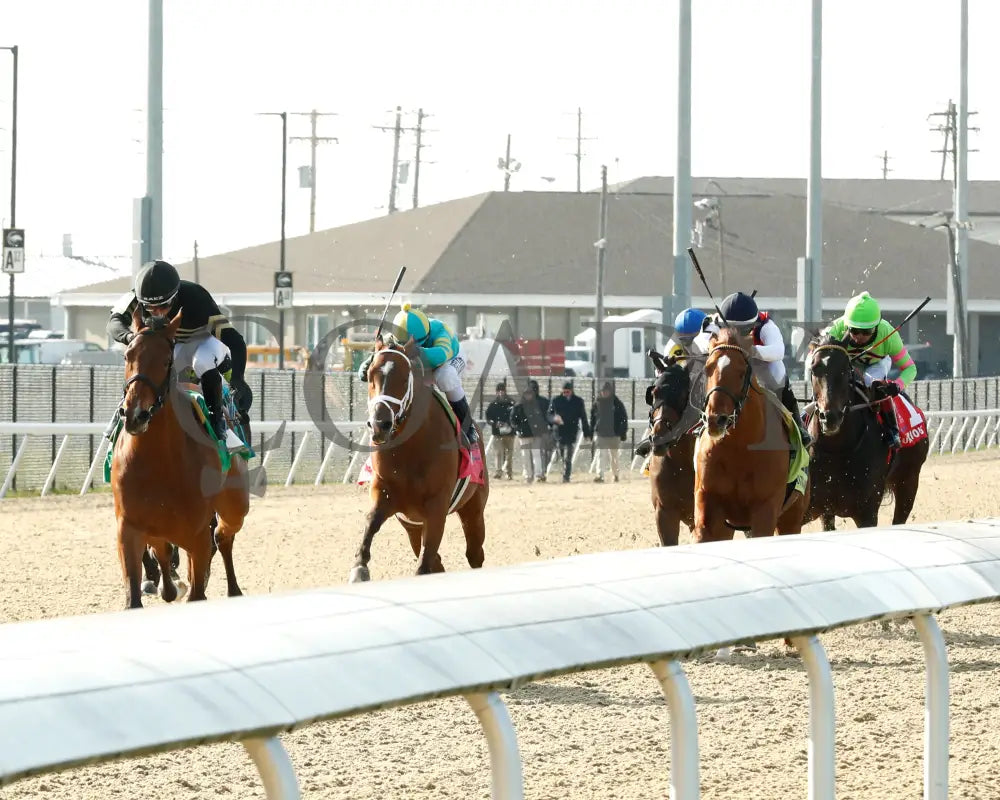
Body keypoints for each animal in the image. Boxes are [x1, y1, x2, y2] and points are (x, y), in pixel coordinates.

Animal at [110, 310, 248, 608]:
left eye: (166, 361)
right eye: (127, 355)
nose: (135, 414)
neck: (158, 460)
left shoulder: (196, 535)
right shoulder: (129, 529)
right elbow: (134, 595)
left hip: (235, 505)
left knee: (223, 536)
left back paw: (233, 589)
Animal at [350, 332, 490, 580]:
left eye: (405, 377)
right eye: (370, 374)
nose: (380, 425)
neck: (410, 449)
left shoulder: (437, 507)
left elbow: (426, 561)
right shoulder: (384, 492)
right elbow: (370, 522)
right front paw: (359, 566)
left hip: (473, 508)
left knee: (474, 553)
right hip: (412, 524)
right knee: (436, 560)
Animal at [696, 326, 812, 544]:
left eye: (742, 372)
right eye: (707, 369)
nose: (716, 420)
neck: (739, 448)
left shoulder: (765, 509)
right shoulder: (708, 504)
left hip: (792, 517)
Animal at [800, 332, 924, 532]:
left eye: (845, 369)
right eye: (814, 368)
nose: (830, 417)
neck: (837, 449)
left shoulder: (867, 512)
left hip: (909, 481)